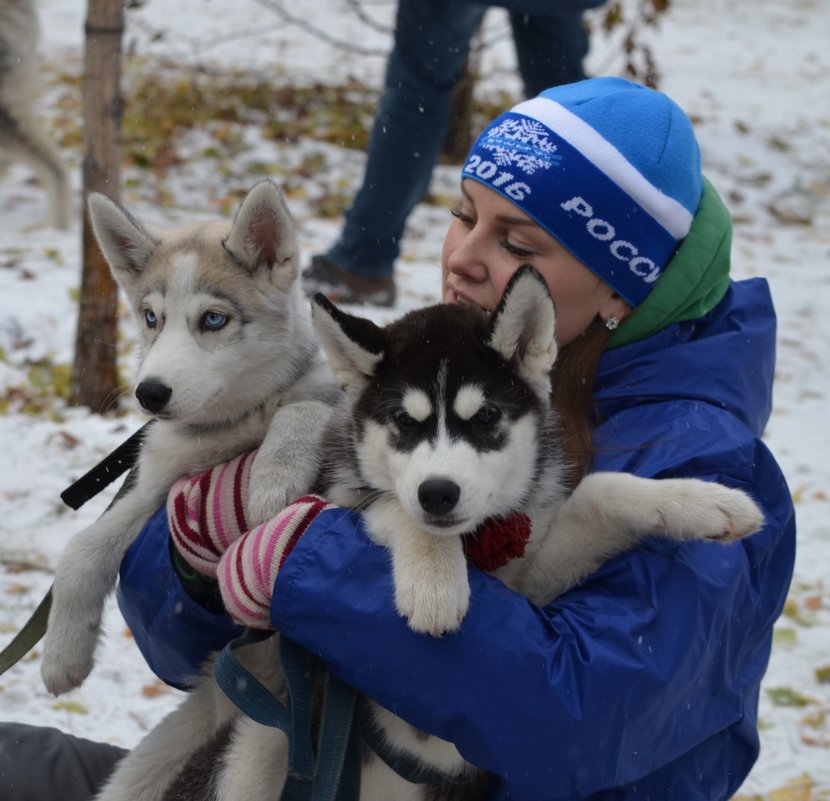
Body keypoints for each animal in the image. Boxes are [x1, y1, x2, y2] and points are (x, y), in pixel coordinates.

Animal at [40, 181, 340, 700]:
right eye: (151, 317)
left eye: (213, 320)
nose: (149, 393)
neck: (229, 426)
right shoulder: (155, 493)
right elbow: (82, 549)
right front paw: (62, 656)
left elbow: (303, 407)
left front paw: (274, 478)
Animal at [97, 264, 768, 800]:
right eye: (402, 421)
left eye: (488, 416)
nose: (439, 493)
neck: (477, 549)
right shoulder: (358, 499)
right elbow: (390, 507)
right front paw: (434, 582)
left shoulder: (532, 585)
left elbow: (604, 491)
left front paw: (709, 502)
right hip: (263, 740)